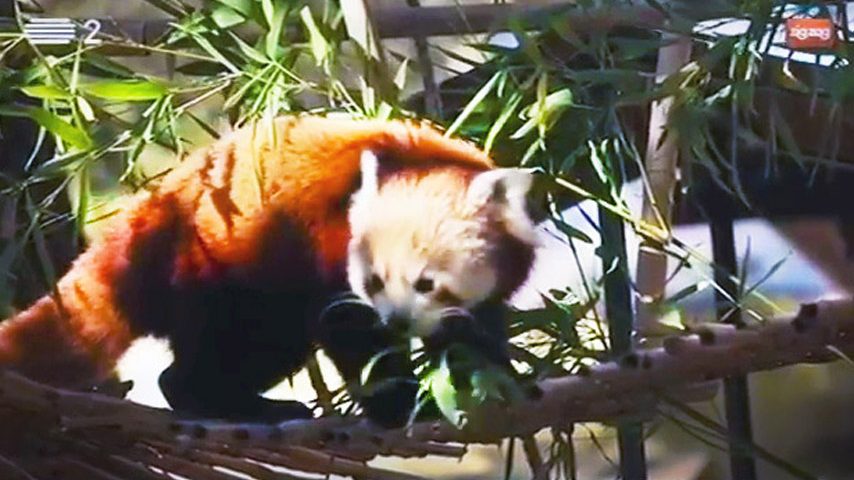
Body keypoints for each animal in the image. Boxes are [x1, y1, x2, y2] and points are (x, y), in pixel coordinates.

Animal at [0, 116, 540, 428]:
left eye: (427, 284)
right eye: (374, 282)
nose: (397, 322)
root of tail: (152, 215)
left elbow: (475, 330)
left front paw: (498, 379)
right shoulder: (326, 247)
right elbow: (351, 334)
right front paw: (401, 406)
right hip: (220, 275)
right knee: (244, 348)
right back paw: (236, 405)